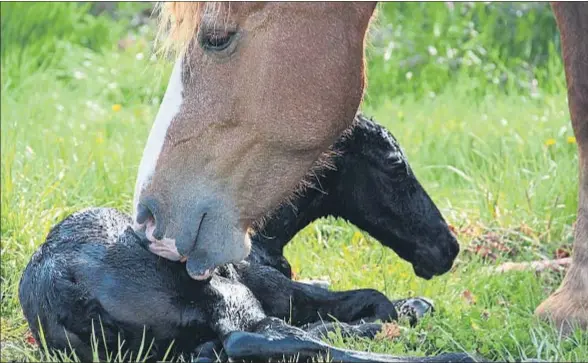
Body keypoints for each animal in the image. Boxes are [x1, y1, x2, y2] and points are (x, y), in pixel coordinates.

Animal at [18, 116, 470, 362]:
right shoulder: (279, 290)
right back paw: (456, 354)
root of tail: (65, 294)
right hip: (225, 291)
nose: (446, 248)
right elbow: (379, 300)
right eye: (395, 164)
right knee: (250, 338)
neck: (263, 237)